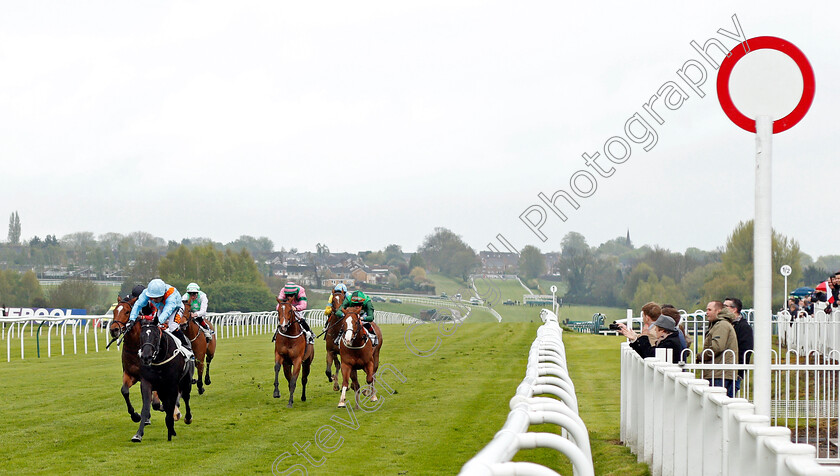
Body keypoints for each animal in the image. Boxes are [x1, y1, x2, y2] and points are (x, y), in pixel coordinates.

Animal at [132, 312, 194, 442]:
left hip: (186, 382)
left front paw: (170, 430)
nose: (146, 357)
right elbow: (146, 408)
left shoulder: (172, 385)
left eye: (156, 336)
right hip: (162, 389)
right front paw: (138, 434)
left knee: (186, 398)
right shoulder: (146, 383)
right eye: (141, 336)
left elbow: (171, 406)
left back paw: (187, 418)